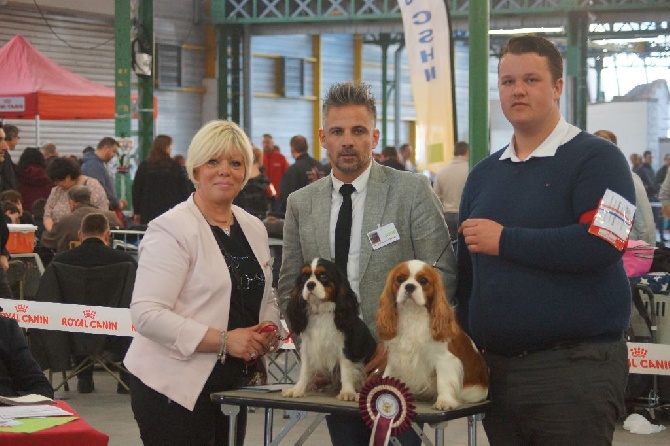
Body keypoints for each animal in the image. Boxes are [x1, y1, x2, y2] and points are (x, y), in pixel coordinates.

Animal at [282, 258, 378, 400]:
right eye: (304, 278)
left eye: (323, 276)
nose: (310, 284)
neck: (321, 312)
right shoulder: (307, 348)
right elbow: (304, 370)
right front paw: (297, 389)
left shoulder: (345, 348)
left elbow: (346, 370)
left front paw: (347, 392)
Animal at [378, 260, 488, 410]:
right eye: (400, 279)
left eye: (423, 281)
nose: (409, 286)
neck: (413, 314)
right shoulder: (396, 357)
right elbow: (389, 374)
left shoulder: (445, 359)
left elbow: (443, 381)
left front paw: (444, 402)